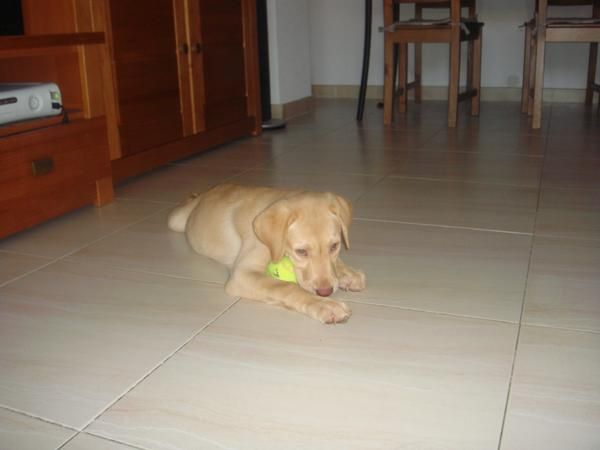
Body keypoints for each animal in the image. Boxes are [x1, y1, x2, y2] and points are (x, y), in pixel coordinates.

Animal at [168, 184, 366, 324]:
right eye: (301, 252)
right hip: (176, 221)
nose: (325, 293)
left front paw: (347, 273)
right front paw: (324, 305)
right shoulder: (242, 274)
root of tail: (206, 193)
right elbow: (286, 287)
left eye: (334, 246)